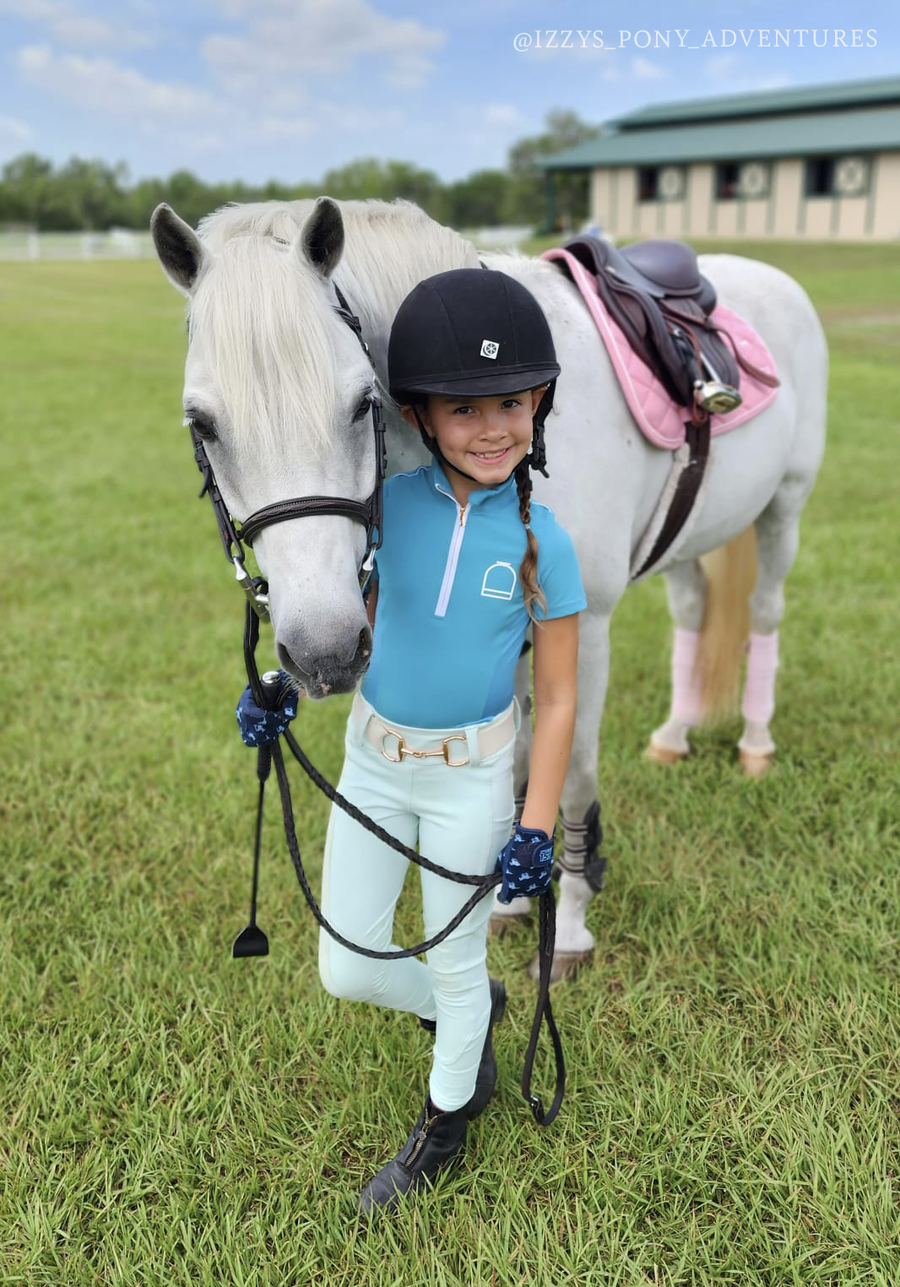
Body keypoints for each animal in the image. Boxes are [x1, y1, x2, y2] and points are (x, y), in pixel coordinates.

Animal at [153, 195, 824, 972]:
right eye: (203, 423)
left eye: (360, 402)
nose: (324, 652)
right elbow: (515, 764)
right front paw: (505, 899)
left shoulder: (584, 632)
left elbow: (571, 773)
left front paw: (568, 924)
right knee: (692, 612)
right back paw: (675, 734)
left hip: (785, 512)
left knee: (766, 614)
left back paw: (755, 744)